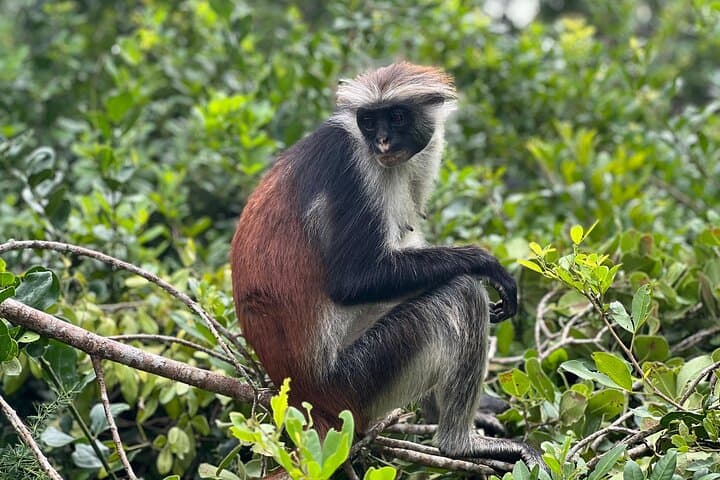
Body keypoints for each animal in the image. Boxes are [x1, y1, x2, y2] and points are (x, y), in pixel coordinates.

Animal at [231, 62, 543, 468]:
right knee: (461, 293)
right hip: (358, 379)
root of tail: (306, 393)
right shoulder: (348, 160)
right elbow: (352, 281)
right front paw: (485, 263)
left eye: (396, 117)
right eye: (368, 121)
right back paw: (458, 444)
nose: (381, 143)